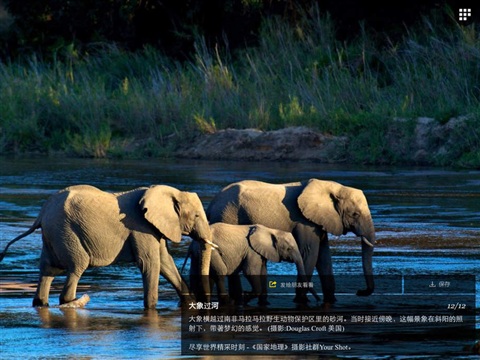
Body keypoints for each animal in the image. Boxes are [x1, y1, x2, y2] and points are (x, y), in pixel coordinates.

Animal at [0, 184, 214, 308]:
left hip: (52, 235)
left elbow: (165, 262)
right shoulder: (140, 226)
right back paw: (75, 301)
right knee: (77, 265)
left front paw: (190, 303)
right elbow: (150, 263)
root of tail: (41, 213)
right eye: (196, 215)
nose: (204, 303)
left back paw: (41, 303)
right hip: (65, 231)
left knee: (48, 268)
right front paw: (151, 308)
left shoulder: (155, 227)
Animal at [184, 224, 316, 306]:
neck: (271, 230)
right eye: (289, 249)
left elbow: (263, 272)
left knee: (198, 274)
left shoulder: (261, 253)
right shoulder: (252, 251)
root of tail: (192, 246)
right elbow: (250, 271)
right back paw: (229, 302)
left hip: (198, 255)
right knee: (220, 272)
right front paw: (245, 298)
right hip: (212, 252)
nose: (318, 300)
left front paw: (264, 303)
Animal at [206, 179, 376, 306]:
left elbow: (324, 257)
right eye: (355, 214)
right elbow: (309, 253)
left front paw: (331, 301)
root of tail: (211, 204)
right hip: (227, 215)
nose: (360, 292)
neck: (332, 187)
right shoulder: (304, 221)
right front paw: (301, 301)